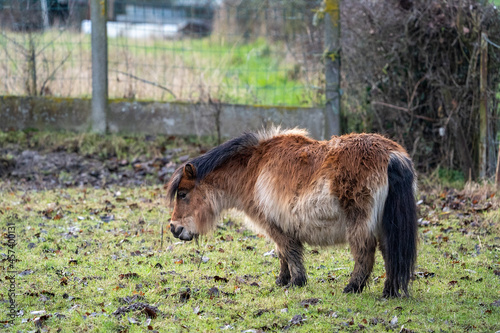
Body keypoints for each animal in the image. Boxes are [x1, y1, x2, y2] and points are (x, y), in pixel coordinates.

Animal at [165, 126, 418, 296]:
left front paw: (296, 282)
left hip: (359, 224)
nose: (174, 228)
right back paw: (389, 292)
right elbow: (282, 254)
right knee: (390, 253)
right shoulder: (279, 225)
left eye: (183, 194)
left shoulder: (275, 225)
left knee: (365, 254)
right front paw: (282, 281)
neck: (253, 170)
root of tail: (392, 155)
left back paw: (352, 287)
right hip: (385, 225)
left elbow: (289, 252)